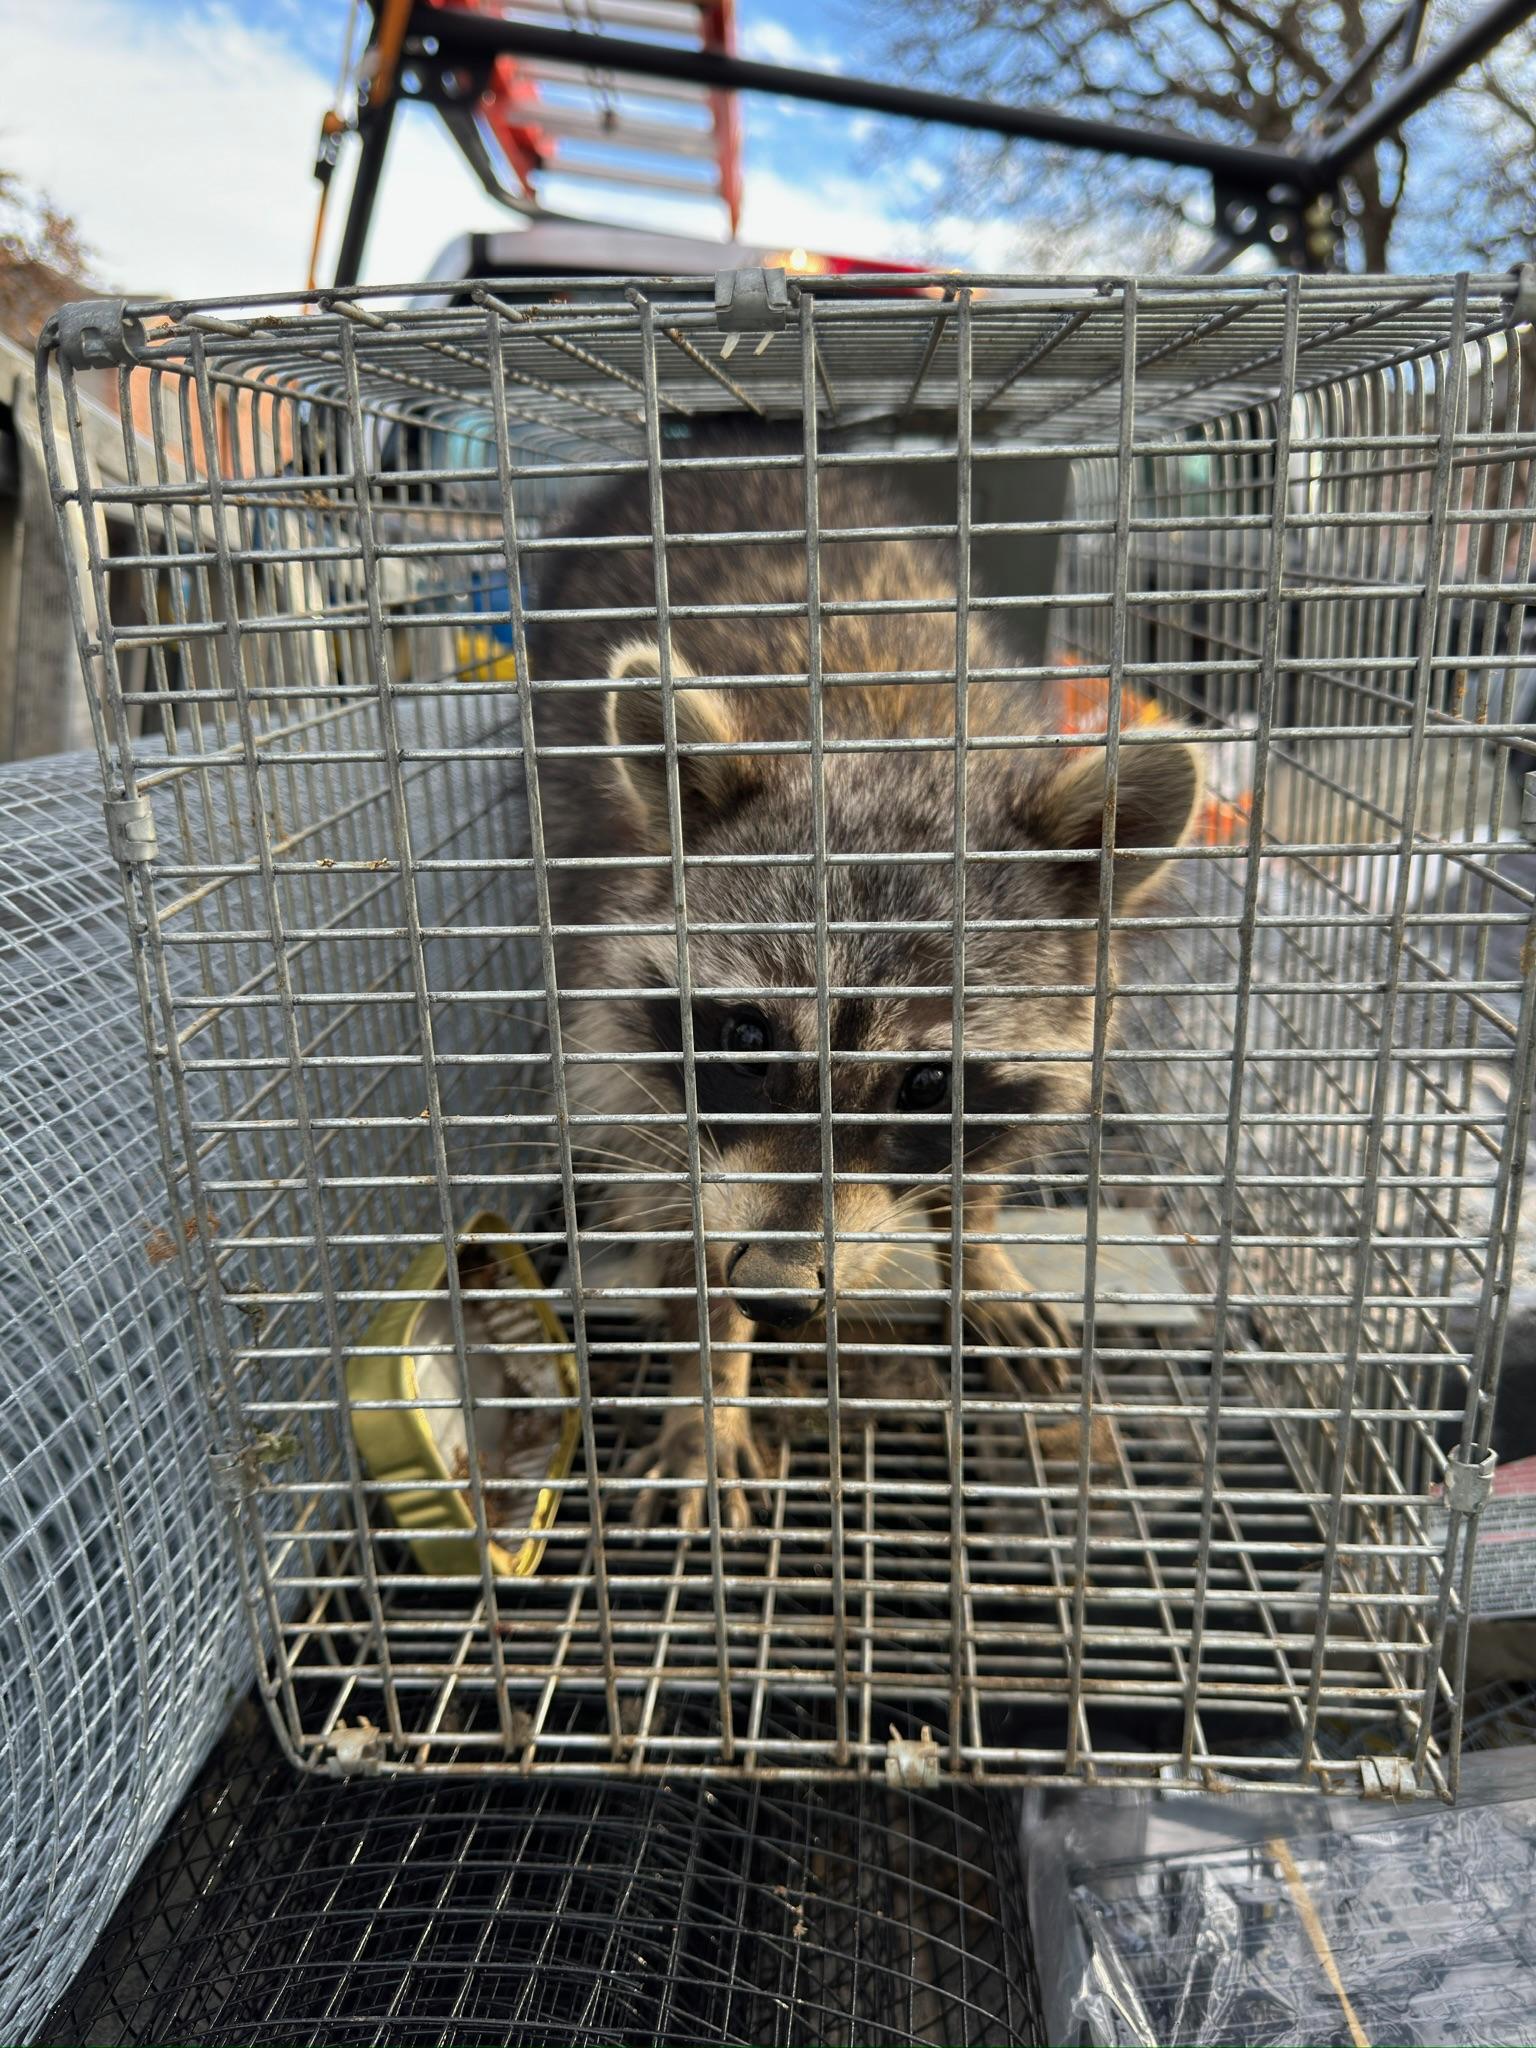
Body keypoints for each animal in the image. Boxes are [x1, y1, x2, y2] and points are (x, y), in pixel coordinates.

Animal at [530, 438, 1200, 1528]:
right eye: (748, 1038)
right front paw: (711, 1377)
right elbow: (672, 1197)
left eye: (925, 1083)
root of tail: (729, 444)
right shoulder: (619, 1018)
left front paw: (976, 1247)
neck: (881, 735)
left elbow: (980, 1157)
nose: (775, 1287)